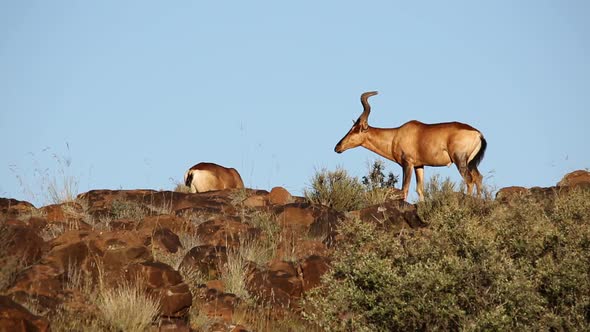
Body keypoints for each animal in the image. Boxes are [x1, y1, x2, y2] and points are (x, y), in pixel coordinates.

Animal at [336, 91, 488, 201]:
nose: (337, 147)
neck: (396, 135)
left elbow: (404, 190)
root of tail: (478, 134)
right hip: (471, 163)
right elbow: (420, 190)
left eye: (355, 129)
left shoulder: (407, 163)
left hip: (460, 161)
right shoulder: (419, 166)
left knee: (470, 180)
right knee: (478, 178)